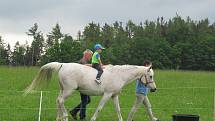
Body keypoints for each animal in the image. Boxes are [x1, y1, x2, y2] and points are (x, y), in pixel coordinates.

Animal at [24, 62, 156, 121]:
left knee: (57, 101)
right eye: (150, 76)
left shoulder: (114, 95)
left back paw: (59, 118)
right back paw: (65, 116)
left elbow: (118, 109)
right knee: (61, 101)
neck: (119, 75)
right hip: (68, 91)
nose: (154, 89)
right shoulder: (107, 95)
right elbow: (99, 108)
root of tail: (63, 65)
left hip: (63, 90)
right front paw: (93, 119)